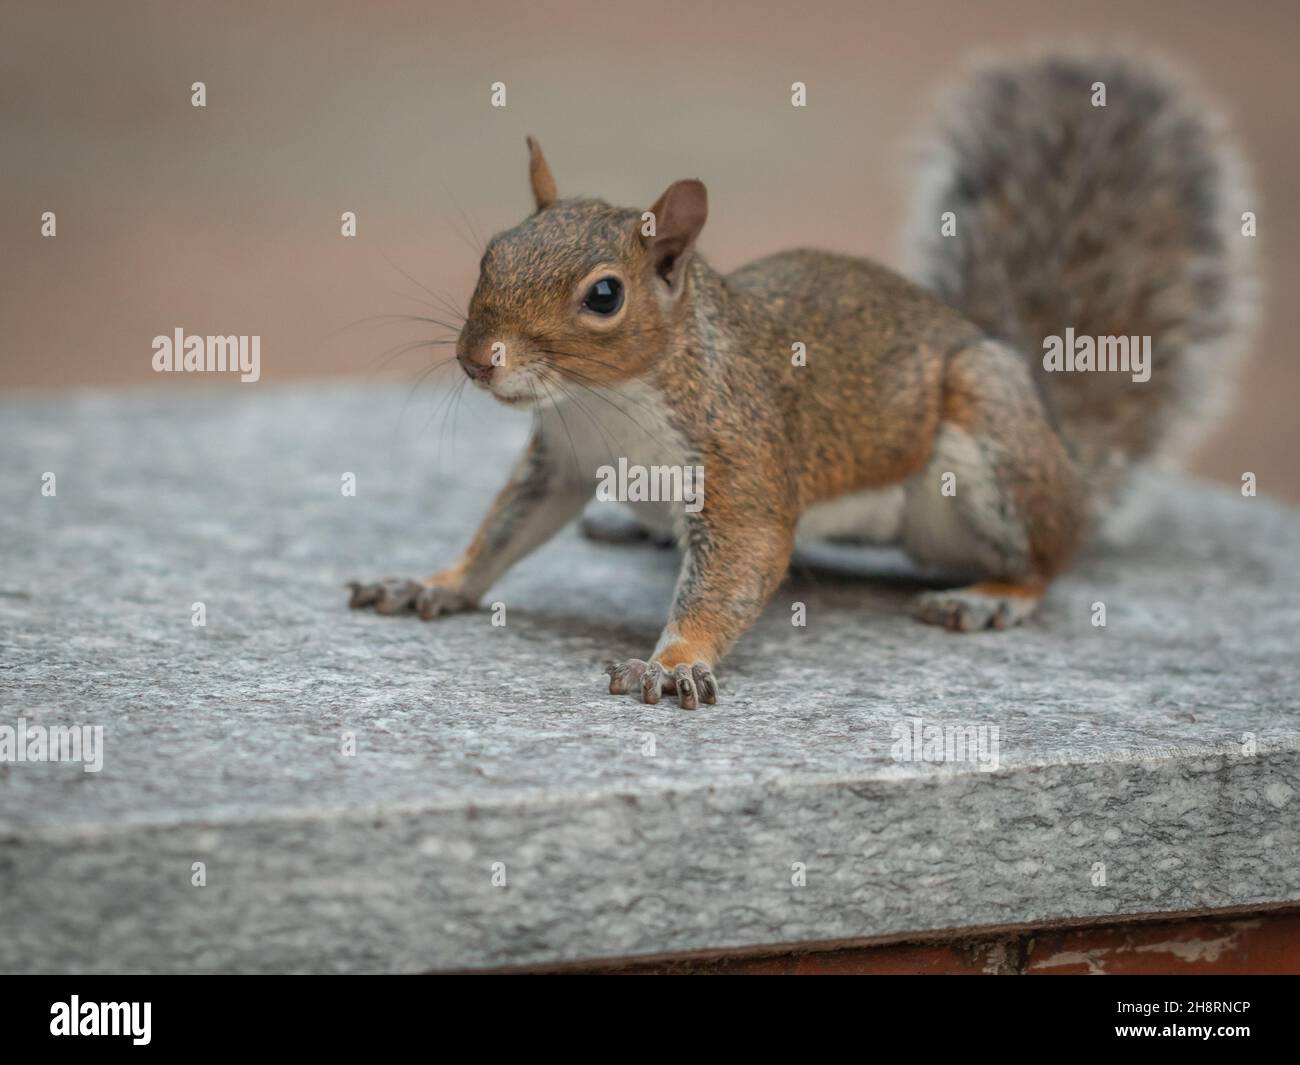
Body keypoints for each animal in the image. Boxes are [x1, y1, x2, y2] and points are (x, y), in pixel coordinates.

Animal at [345, 54, 1248, 712]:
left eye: (604, 295)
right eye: (492, 252)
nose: (478, 358)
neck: (605, 402)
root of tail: (1059, 441)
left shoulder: (739, 458)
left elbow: (739, 564)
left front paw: (672, 661)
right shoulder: (561, 462)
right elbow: (501, 532)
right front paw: (430, 583)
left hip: (994, 444)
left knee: (1052, 558)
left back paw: (995, 594)